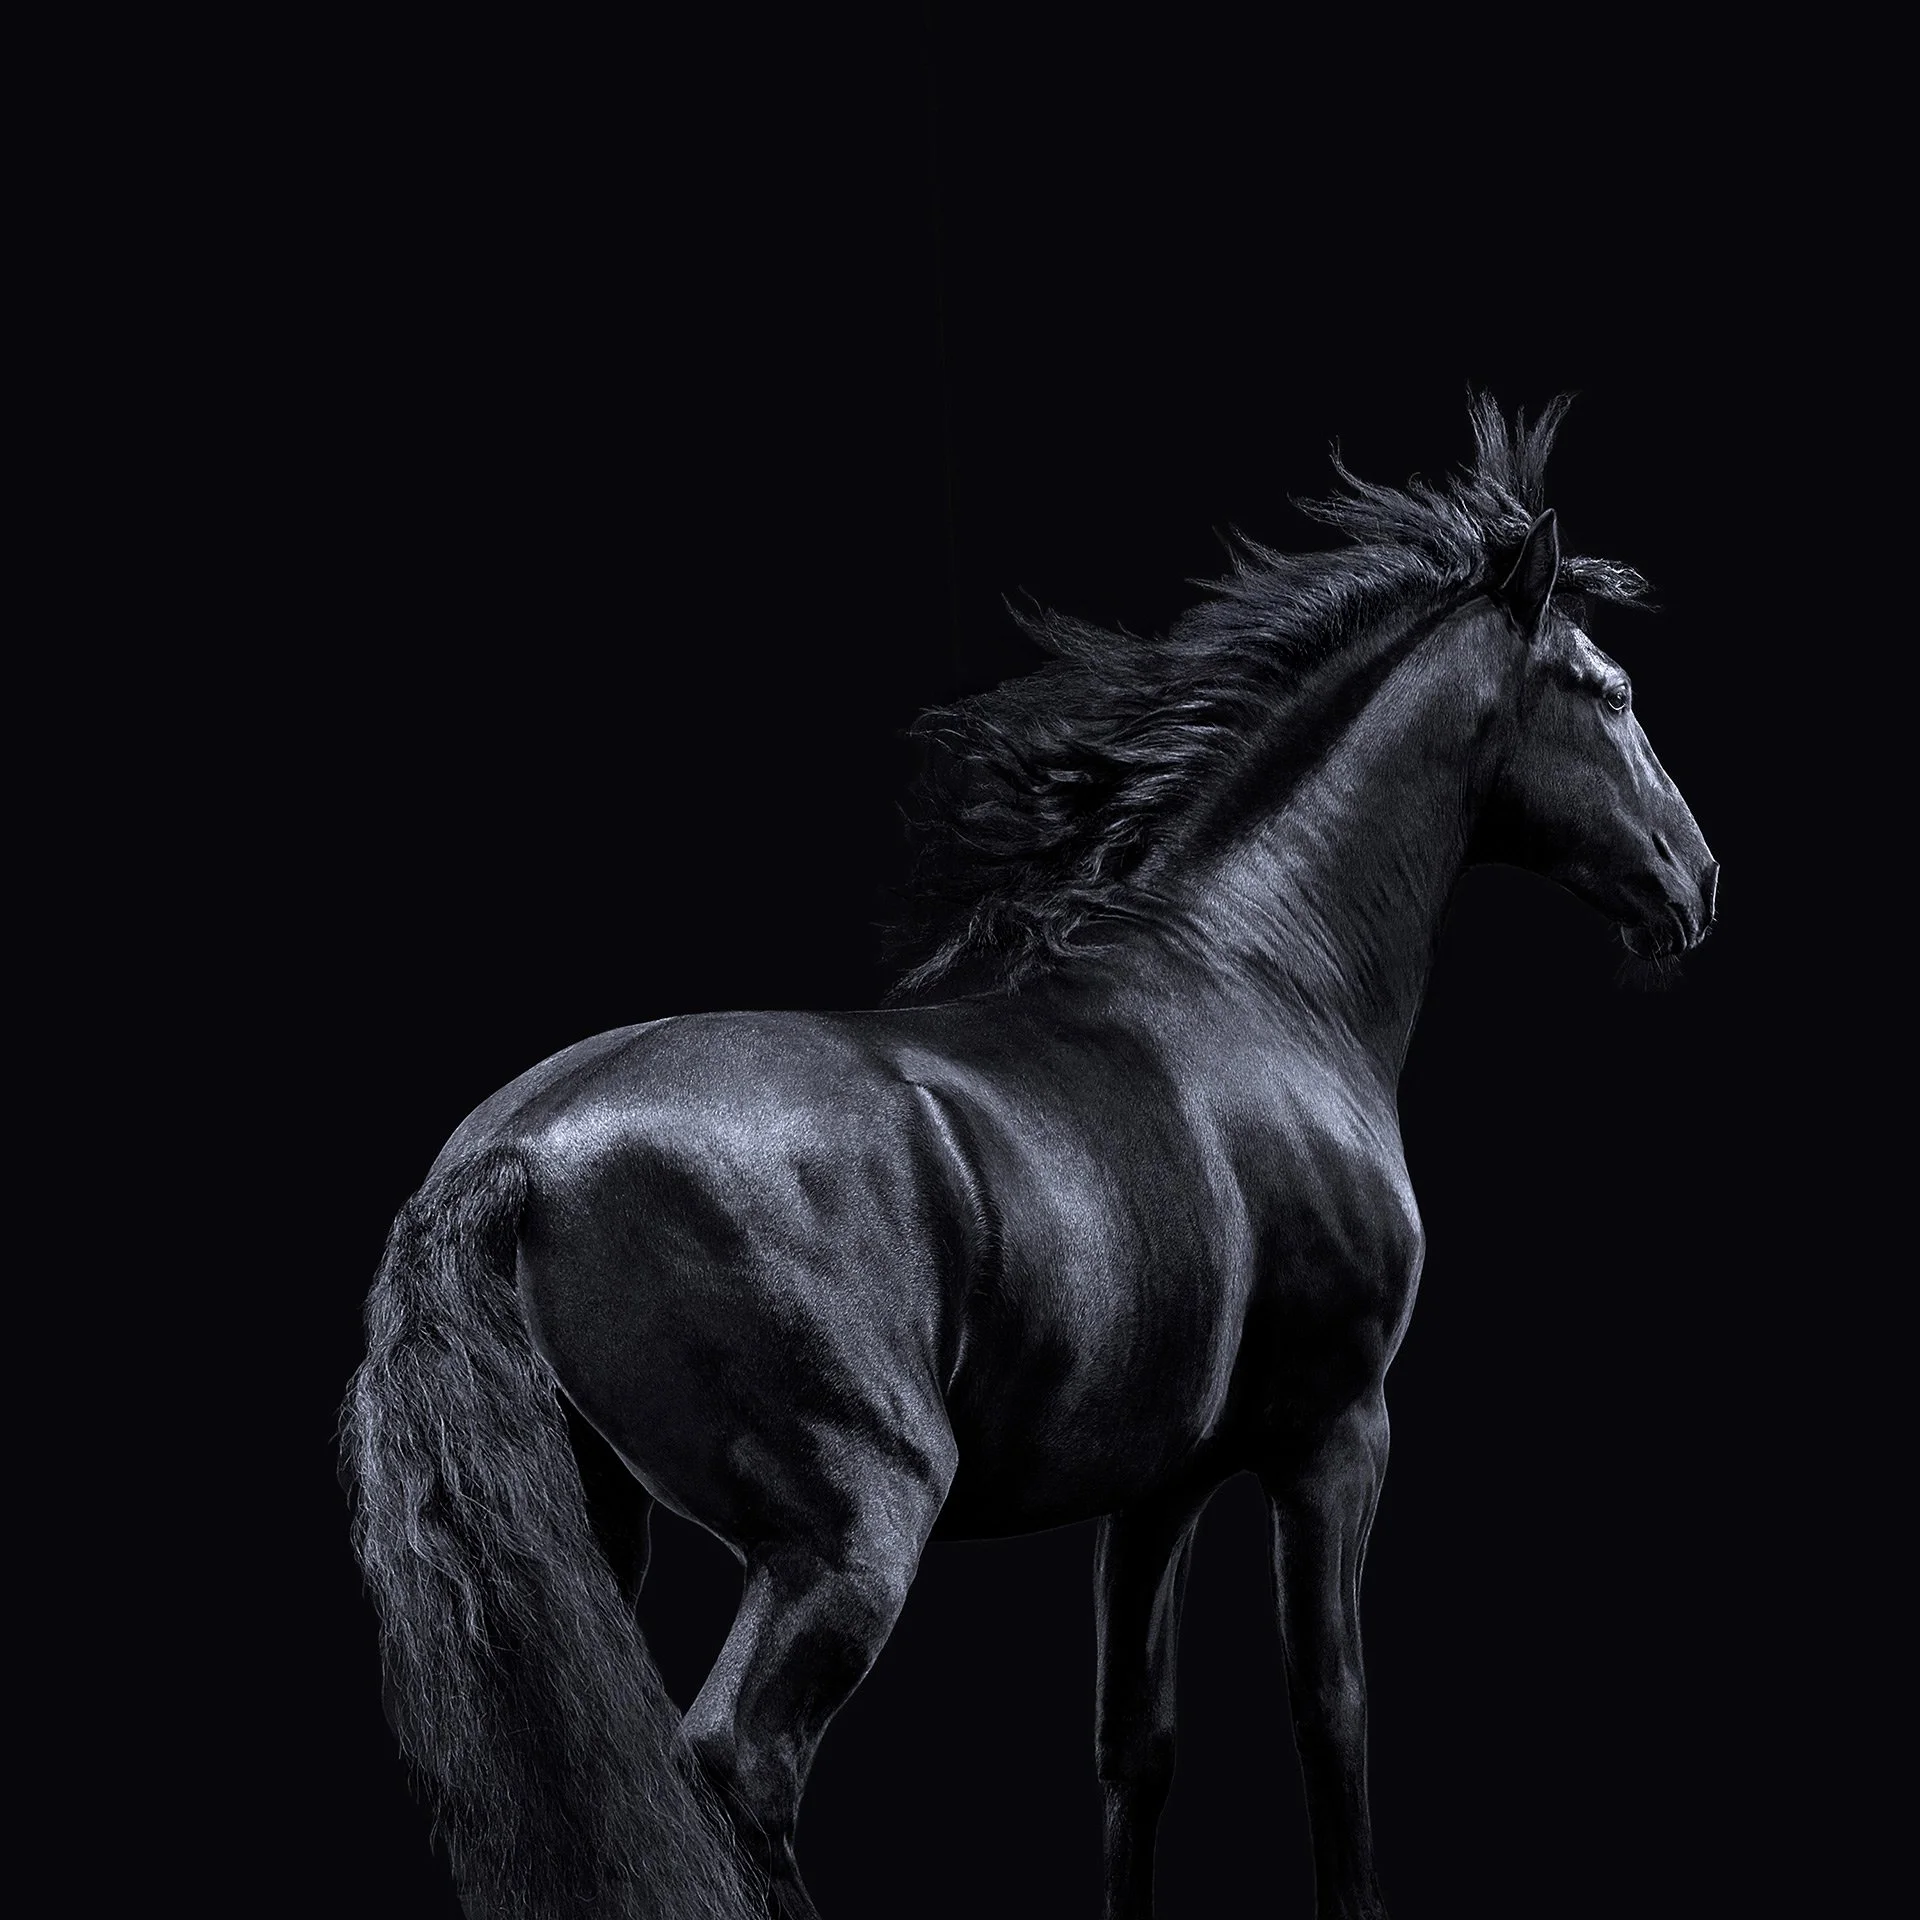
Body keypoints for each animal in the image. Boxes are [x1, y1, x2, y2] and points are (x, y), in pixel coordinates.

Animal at [342, 395, 1718, 1920]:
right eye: (1608, 688)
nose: (1696, 882)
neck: (1258, 980)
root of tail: (516, 1155)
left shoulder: (1160, 1482)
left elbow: (1137, 1742)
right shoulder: (1336, 1434)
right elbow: (1334, 1715)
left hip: (599, 1524)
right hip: (853, 1526)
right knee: (735, 1769)